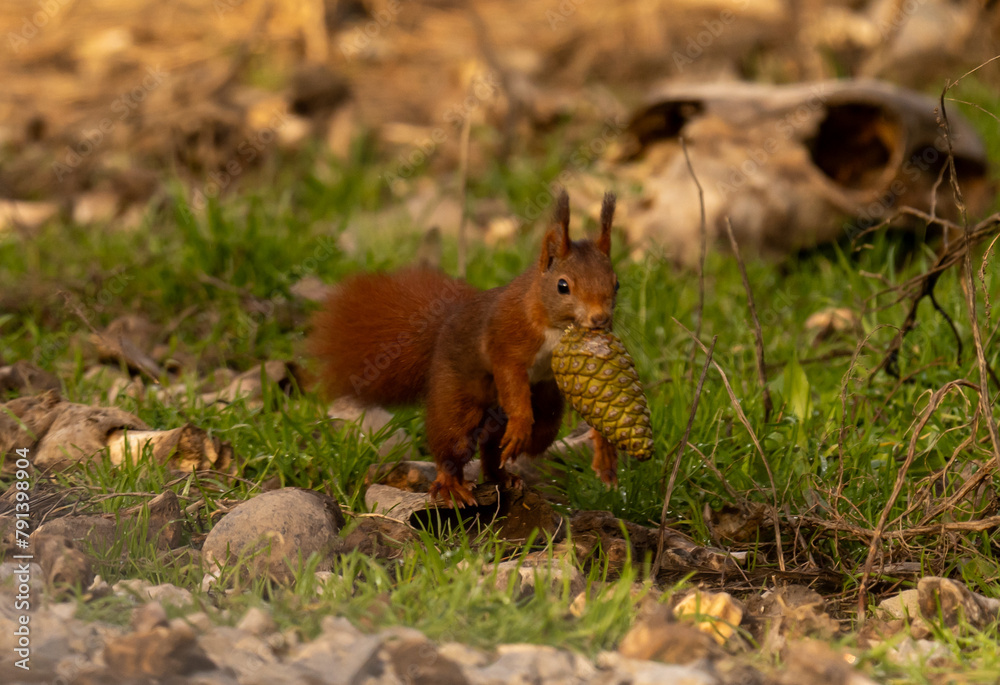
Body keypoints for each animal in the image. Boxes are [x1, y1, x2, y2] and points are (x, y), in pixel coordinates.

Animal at [308, 190, 620, 504]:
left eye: (616, 284)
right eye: (562, 286)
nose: (600, 319)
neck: (552, 324)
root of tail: (443, 324)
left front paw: (603, 447)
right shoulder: (507, 343)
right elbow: (511, 378)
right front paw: (521, 424)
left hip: (538, 400)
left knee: (510, 443)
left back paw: (505, 475)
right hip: (456, 397)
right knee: (452, 444)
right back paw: (452, 485)